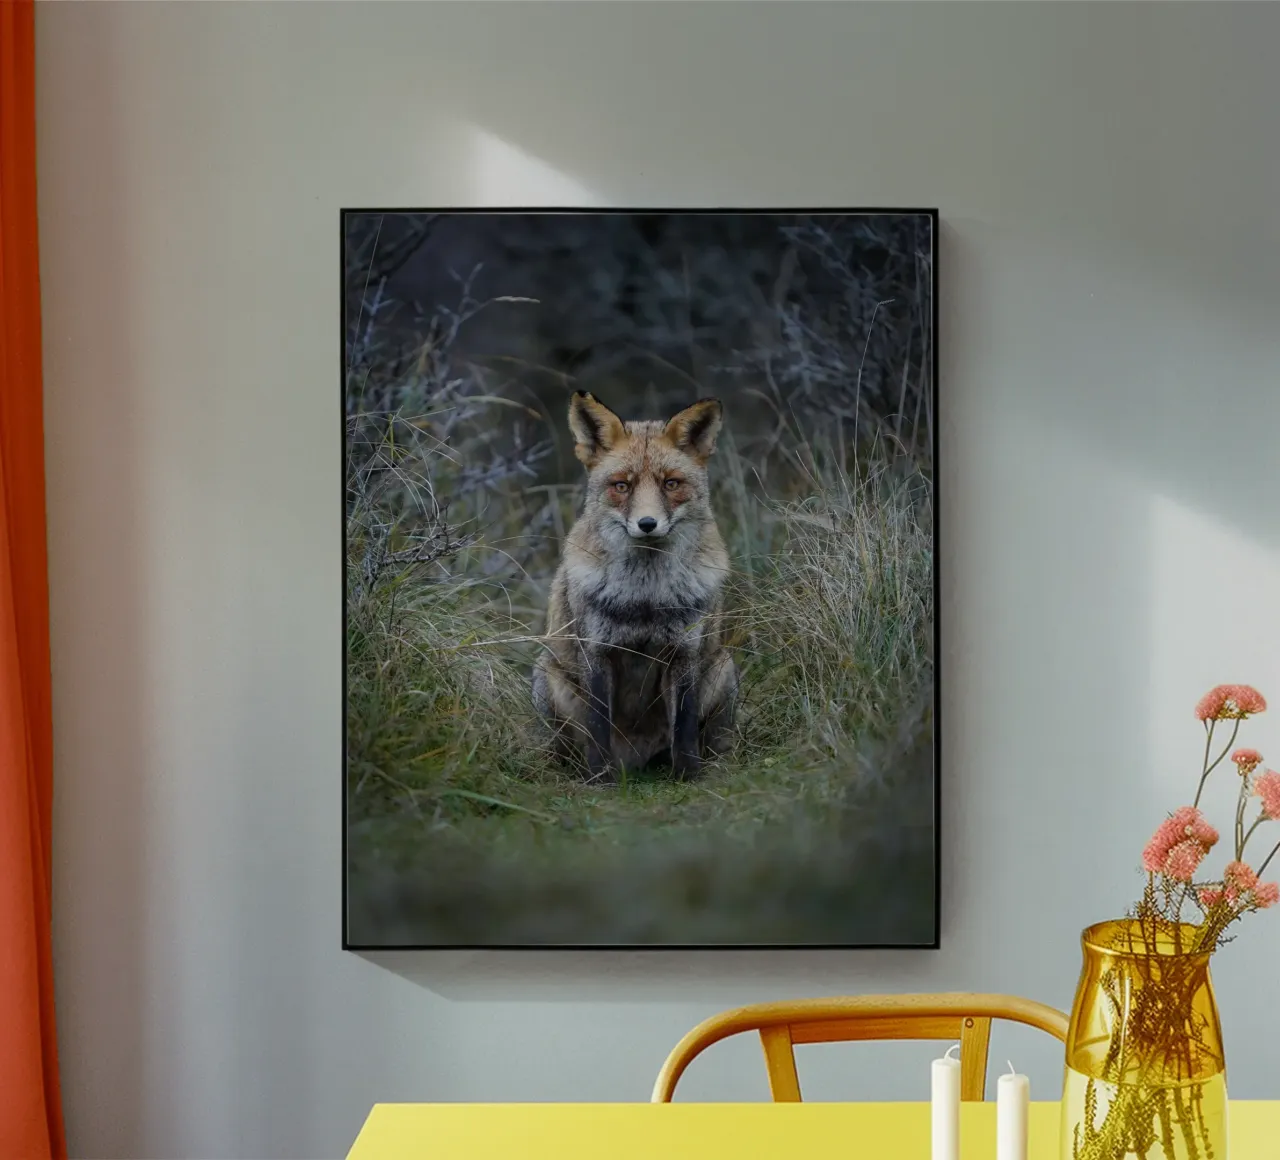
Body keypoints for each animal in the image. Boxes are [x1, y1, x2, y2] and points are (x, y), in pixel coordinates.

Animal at [532, 391, 738, 782]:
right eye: (621, 486)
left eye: (671, 484)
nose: (647, 524)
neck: (645, 597)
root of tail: (636, 761)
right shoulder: (596, 652)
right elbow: (598, 726)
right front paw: (601, 780)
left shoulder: (683, 651)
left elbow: (684, 727)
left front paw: (688, 776)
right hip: (548, 677)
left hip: (723, 666)